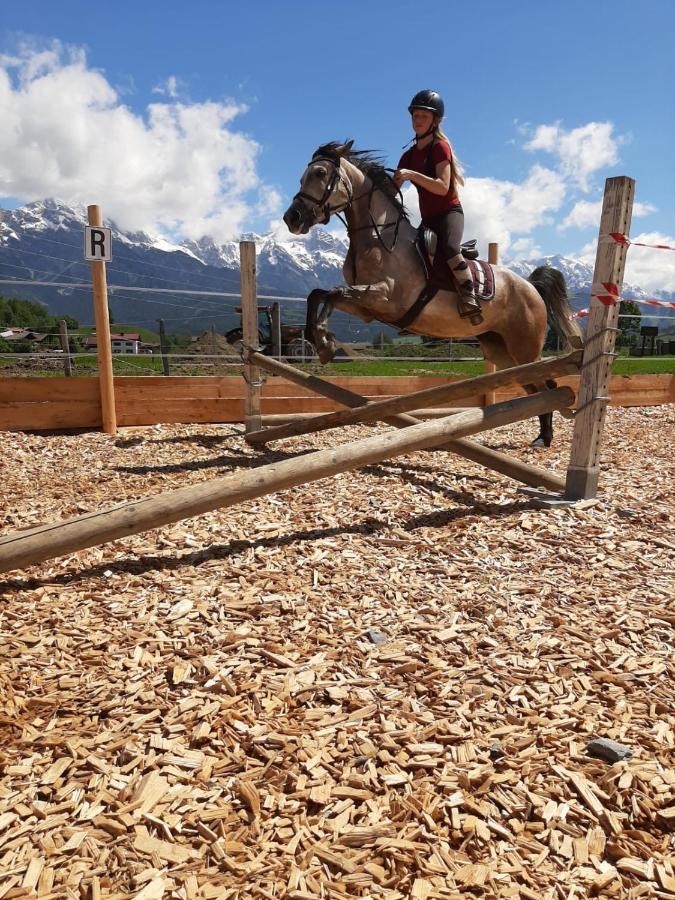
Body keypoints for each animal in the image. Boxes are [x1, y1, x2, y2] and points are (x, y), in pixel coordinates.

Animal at [282, 142, 584, 448]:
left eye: (320, 173)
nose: (292, 218)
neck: (378, 238)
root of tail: (530, 285)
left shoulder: (384, 298)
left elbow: (332, 293)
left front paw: (324, 343)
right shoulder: (366, 308)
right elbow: (319, 294)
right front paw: (322, 342)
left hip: (524, 347)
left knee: (547, 384)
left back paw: (545, 438)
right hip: (501, 350)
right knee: (535, 387)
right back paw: (542, 436)